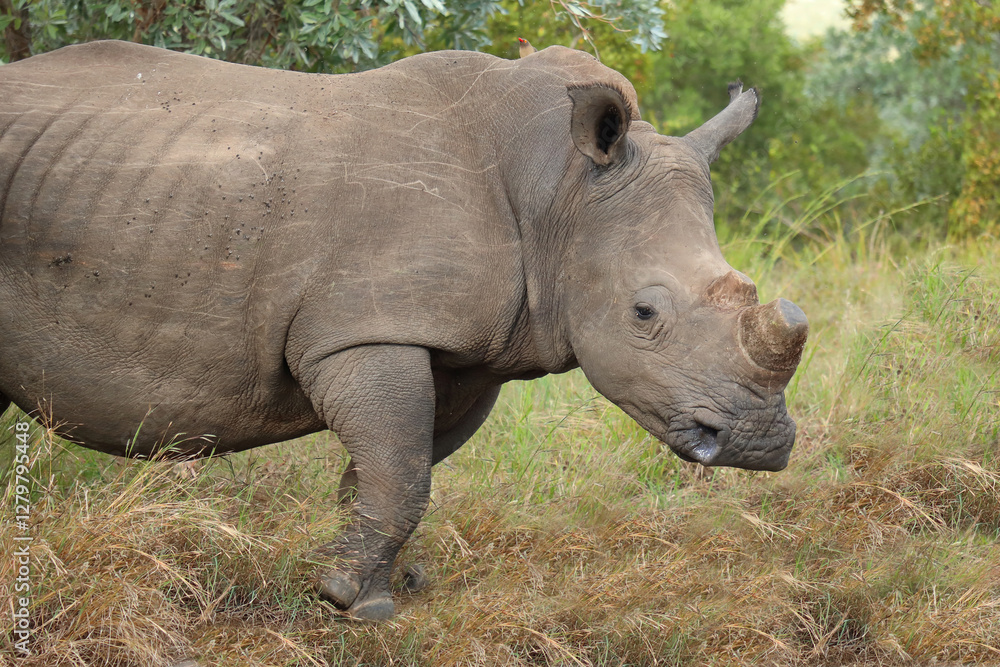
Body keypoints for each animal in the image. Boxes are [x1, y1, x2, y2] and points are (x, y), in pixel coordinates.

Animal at [0, 41, 807, 620]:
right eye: (644, 314)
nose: (759, 442)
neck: (559, 191)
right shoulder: (364, 329)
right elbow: (403, 470)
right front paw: (345, 599)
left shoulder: (464, 352)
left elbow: (389, 470)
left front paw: (370, 586)